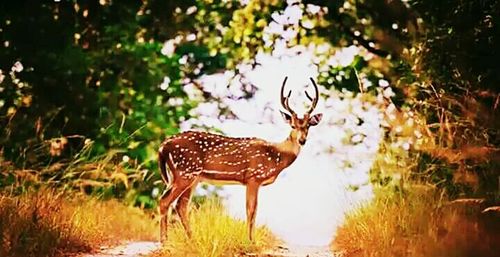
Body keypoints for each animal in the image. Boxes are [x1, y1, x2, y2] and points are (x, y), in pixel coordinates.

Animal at [160, 76, 324, 240]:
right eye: (292, 126)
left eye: (308, 125)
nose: (302, 140)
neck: (276, 155)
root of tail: (164, 145)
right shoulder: (254, 177)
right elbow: (251, 211)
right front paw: (250, 241)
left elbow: (252, 211)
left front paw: (250, 239)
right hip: (185, 171)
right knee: (165, 201)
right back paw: (164, 241)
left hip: (191, 177)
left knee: (181, 205)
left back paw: (191, 238)